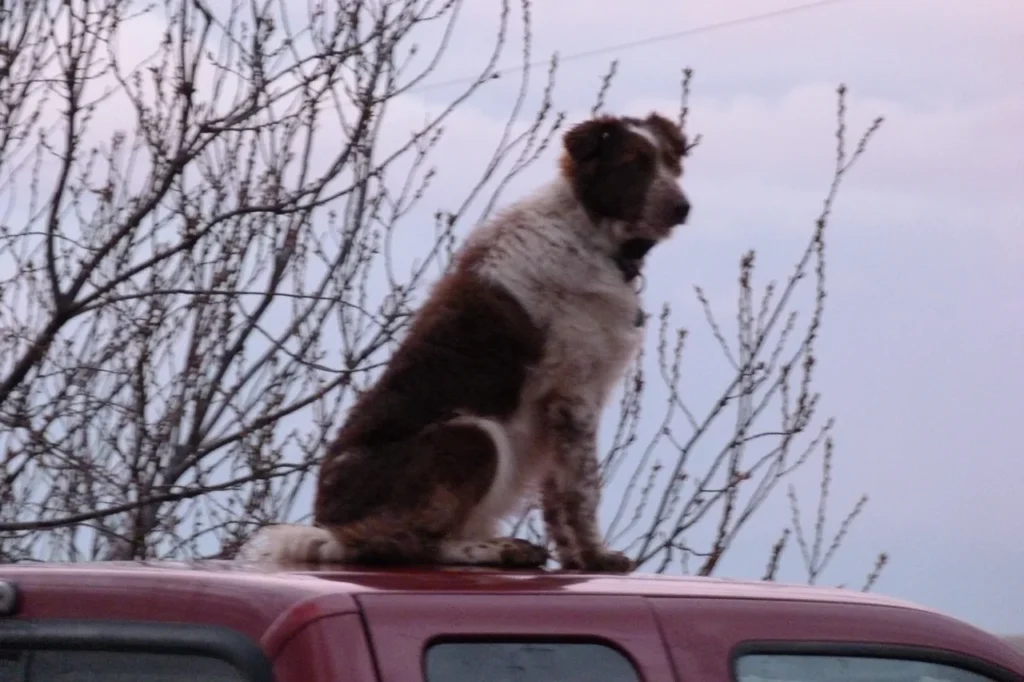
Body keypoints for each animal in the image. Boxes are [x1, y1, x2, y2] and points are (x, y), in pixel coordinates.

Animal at [238, 111, 690, 573]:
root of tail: (330, 525)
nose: (683, 208)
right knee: (398, 542)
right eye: (634, 164)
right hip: (472, 434)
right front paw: (597, 556)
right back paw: (497, 550)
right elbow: (582, 491)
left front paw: (574, 559)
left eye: (673, 164)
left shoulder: (561, 409)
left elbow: (557, 497)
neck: (589, 231)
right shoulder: (574, 394)